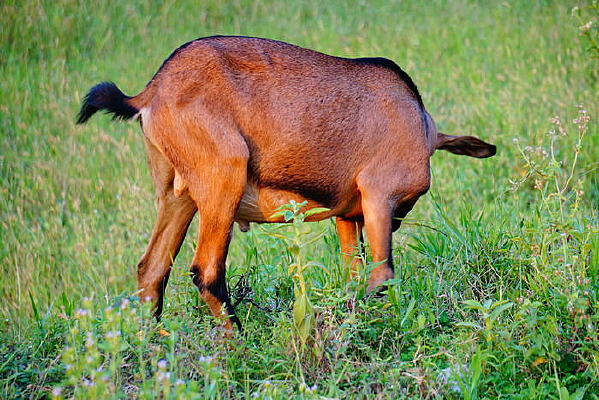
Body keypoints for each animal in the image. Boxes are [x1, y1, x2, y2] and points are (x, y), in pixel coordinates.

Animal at [76, 36, 496, 330]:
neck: (418, 124)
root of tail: (150, 92)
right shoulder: (379, 195)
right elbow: (381, 277)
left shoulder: (348, 215)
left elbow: (355, 276)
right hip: (223, 181)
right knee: (206, 271)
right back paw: (239, 344)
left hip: (178, 196)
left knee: (151, 270)